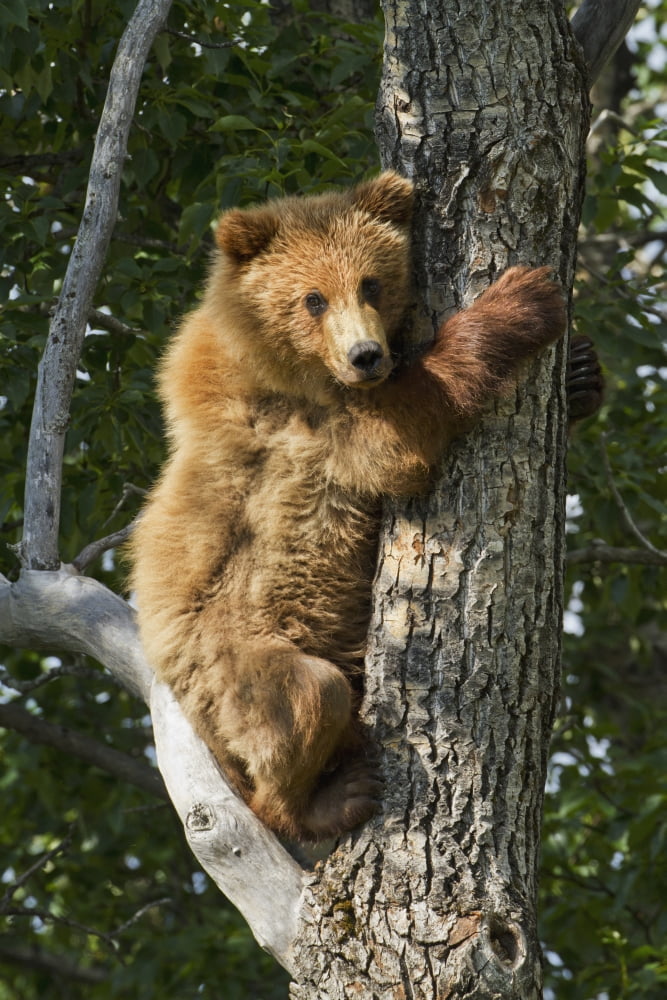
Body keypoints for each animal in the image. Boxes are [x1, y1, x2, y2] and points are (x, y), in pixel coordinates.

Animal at [130, 171, 574, 841]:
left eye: (371, 282)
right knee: (306, 701)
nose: (366, 354)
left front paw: (582, 373)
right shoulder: (301, 432)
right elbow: (398, 434)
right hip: (237, 667)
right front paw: (522, 300)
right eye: (313, 298)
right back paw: (330, 797)